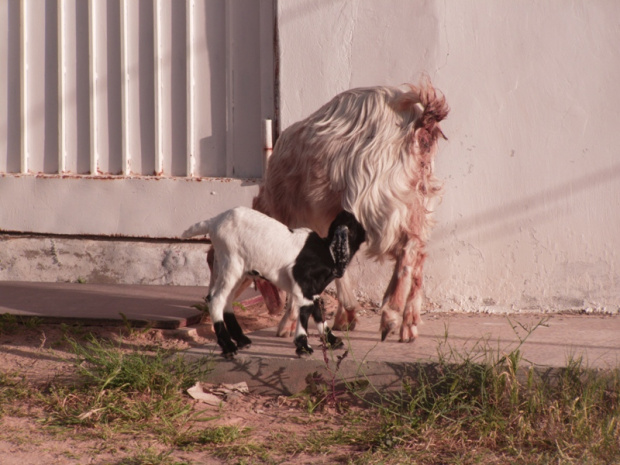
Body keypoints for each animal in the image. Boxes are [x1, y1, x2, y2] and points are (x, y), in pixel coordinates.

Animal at [254, 79, 448, 340]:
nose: (271, 307)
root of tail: (419, 120)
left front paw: (289, 322)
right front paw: (345, 316)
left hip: (376, 201)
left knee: (407, 250)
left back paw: (391, 311)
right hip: (418, 198)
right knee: (418, 253)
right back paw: (409, 322)